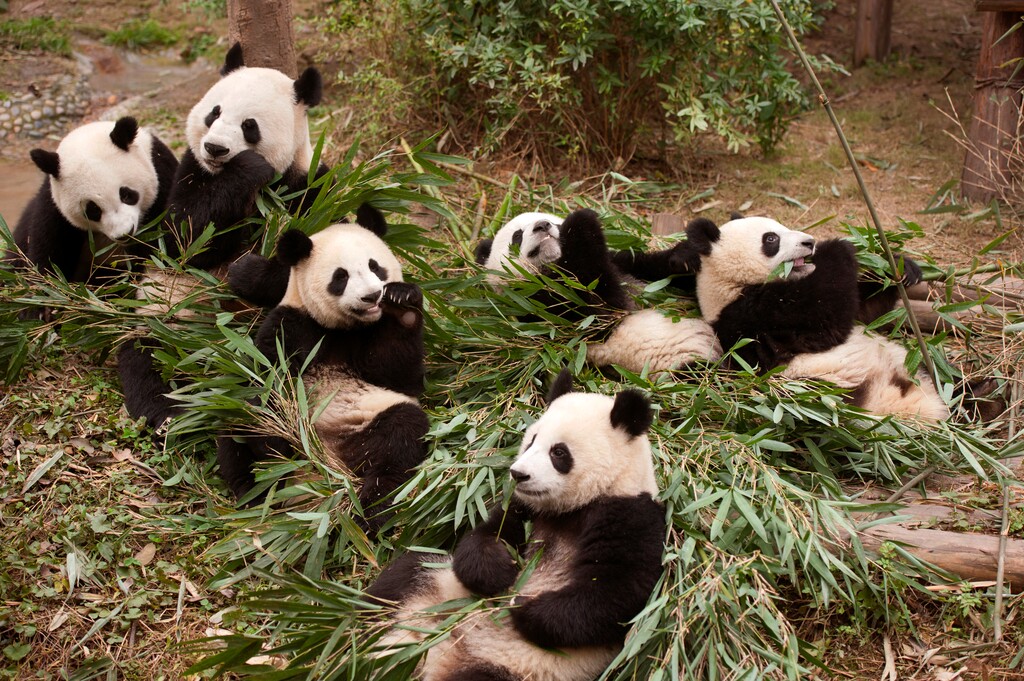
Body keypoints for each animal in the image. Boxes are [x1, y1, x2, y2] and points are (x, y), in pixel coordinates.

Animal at [8, 116, 178, 282]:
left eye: (126, 195)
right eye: (93, 210)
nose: (125, 233)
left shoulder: (162, 176)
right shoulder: (53, 207)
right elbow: (47, 252)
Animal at [215, 206, 428, 529]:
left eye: (375, 267)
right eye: (340, 277)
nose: (371, 296)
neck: (345, 328)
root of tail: (327, 462)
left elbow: (400, 374)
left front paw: (401, 304)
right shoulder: (293, 323)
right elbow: (269, 377)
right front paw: (274, 440)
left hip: (372, 418)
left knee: (400, 438)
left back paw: (370, 508)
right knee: (240, 429)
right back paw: (259, 486)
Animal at [366, 370, 665, 681]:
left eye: (559, 453)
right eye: (532, 441)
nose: (518, 474)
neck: (575, 506)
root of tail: (434, 654)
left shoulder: (631, 516)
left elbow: (616, 594)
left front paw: (522, 608)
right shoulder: (524, 508)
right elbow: (484, 537)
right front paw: (500, 573)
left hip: (510, 669)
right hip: (437, 581)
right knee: (400, 579)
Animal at [476, 209, 721, 374]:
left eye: (555, 223)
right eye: (517, 236)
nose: (543, 225)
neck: (554, 268)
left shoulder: (625, 266)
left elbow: (651, 268)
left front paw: (684, 258)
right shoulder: (539, 310)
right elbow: (599, 311)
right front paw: (581, 219)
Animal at [683, 215, 948, 420]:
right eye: (771, 239)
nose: (809, 242)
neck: (729, 287)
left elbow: (866, 312)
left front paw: (901, 267)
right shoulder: (753, 317)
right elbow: (826, 316)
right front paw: (839, 246)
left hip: (913, 362)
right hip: (829, 393)